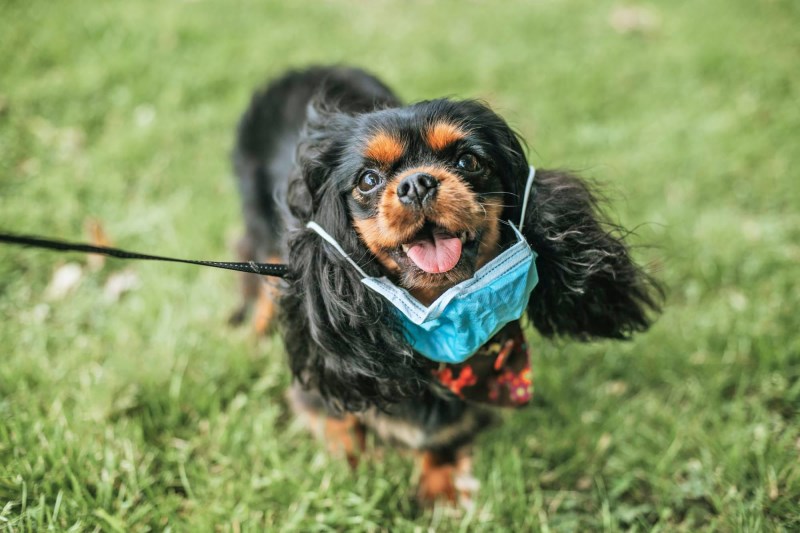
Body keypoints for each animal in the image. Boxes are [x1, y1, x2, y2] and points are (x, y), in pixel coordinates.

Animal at [228, 65, 660, 502]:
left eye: (468, 160)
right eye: (367, 180)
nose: (417, 183)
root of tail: (306, 69)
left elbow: (443, 440)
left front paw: (441, 491)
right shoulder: (322, 381)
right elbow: (342, 426)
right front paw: (357, 472)